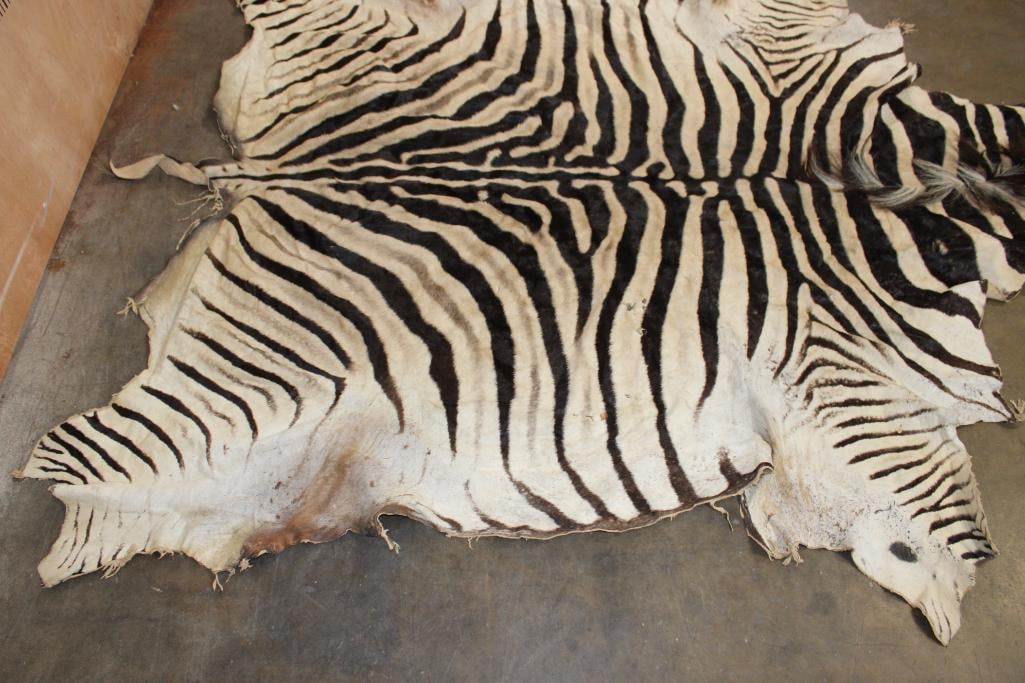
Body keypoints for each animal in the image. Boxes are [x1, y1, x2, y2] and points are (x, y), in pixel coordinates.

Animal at [16, 0, 1025, 644]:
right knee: (77, 467)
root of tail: (264, 170)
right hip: (237, 410)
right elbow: (951, 528)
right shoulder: (847, 389)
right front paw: (946, 596)